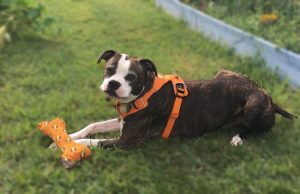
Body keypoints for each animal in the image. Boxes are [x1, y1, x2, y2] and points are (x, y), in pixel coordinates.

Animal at [59, 49, 296, 149]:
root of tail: (268, 95)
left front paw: (69, 144)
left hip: (254, 107)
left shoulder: (126, 141)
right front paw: (70, 134)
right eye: (109, 70)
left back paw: (238, 137)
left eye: (131, 77)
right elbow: (93, 126)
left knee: (255, 130)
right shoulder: (121, 121)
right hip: (223, 73)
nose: (113, 84)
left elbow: (93, 141)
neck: (146, 92)